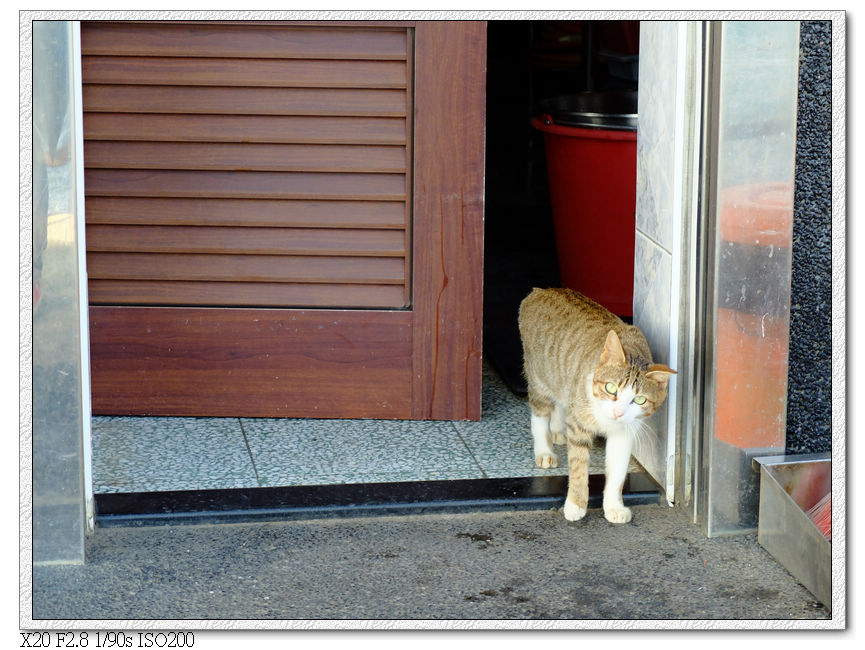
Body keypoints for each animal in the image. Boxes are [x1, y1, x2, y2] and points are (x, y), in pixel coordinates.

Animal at [520, 288, 676, 520]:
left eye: (639, 399)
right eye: (611, 388)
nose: (618, 412)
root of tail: (541, 290)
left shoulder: (624, 432)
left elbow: (617, 472)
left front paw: (613, 506)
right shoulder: (579, 423)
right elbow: (578, 466)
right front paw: (575, 504)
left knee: (560, 400)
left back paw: (557, 430)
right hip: (540, 377)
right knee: (540, 413)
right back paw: (544, 450)